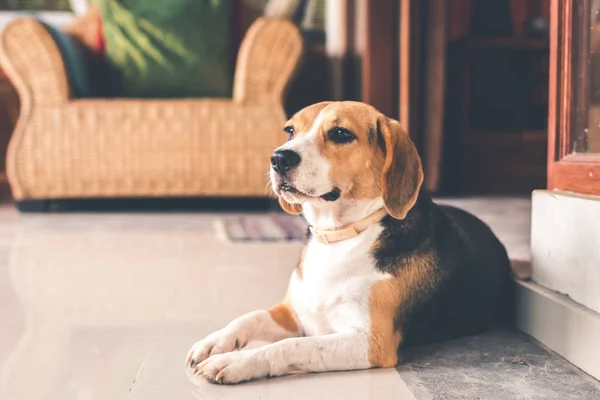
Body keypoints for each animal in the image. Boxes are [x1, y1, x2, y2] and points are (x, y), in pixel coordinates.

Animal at [186, 101, 510, 384]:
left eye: (341, 134)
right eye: (290, 131)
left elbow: (291, 346)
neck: (338, 237)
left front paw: (236, 361)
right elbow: (249, 317)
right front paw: (215, 342)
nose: (278, 158)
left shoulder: (370, 342)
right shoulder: (293, 312)